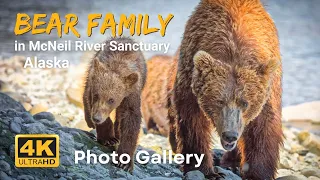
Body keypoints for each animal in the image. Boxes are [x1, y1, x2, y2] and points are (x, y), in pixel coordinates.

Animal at [170, 0, 282, 179]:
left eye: (245, 103)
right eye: (219, 101)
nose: (230, 135)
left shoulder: (268, 90)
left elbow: (263, 128)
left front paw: (257, 173)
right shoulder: (190, 76)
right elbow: (193, 121)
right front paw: (206, 170)